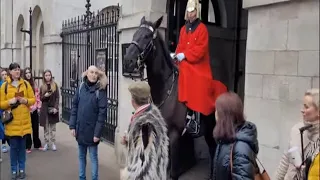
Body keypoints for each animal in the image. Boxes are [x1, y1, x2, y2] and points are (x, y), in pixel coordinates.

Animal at [124, 16, 216, 179]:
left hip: (211, 129)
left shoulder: (174, 136)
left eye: (147, 36)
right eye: (135, 33)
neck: (165, 88)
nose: (128, 60)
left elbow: (173, 172)